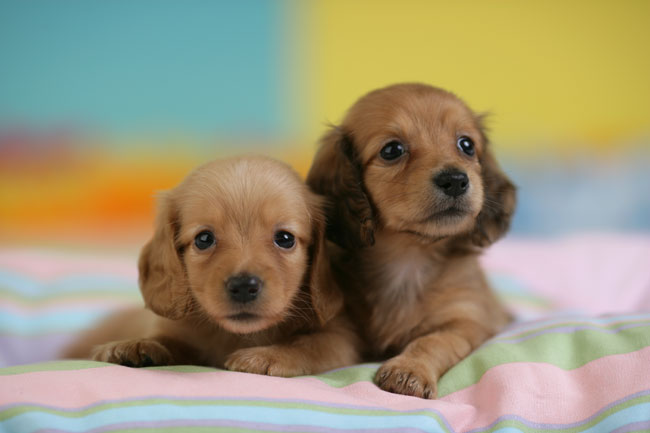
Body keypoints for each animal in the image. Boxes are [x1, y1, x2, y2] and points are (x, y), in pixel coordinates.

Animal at [64, 156, 360, 376]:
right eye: (204, 239)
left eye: (285, 239)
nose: (244, 286)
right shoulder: (181, 333)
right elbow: (171, 341)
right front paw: (137, 345)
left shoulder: (342, 339)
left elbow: (311, 344)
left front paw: (268, 356)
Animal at [307, 83, 516, 398]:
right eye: (392, 150)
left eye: (466, 145)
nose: (456, 180)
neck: (408, 258)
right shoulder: (347, 325)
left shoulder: (468, 320)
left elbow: (433, 341)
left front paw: (409, 370)